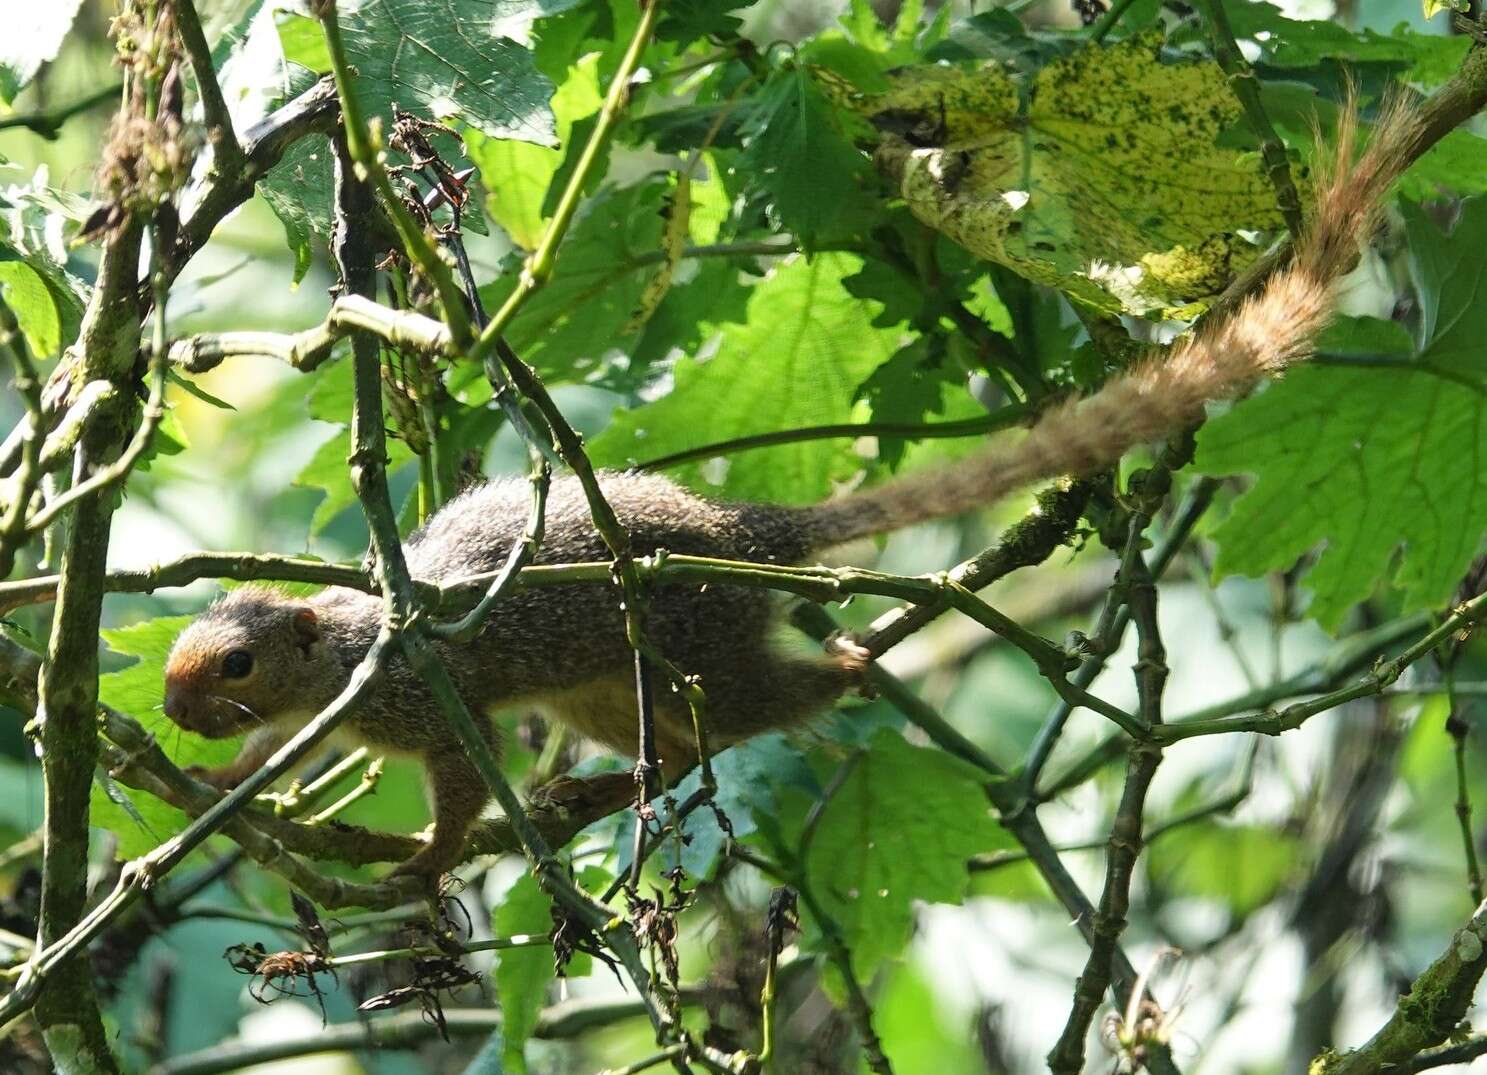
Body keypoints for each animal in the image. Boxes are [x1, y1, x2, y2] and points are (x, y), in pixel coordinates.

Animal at [159, 101, 1415, 880]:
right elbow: (279, 763)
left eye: (237, 663)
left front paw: (423, 866)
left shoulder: (428, 692)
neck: (347, 648)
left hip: (696, 643)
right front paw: (219, 777)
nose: (170, 708)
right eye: (183, 643)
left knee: (774, 699)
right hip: (611, 691)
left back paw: (847, 667)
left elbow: (464, 787)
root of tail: (738, 532)